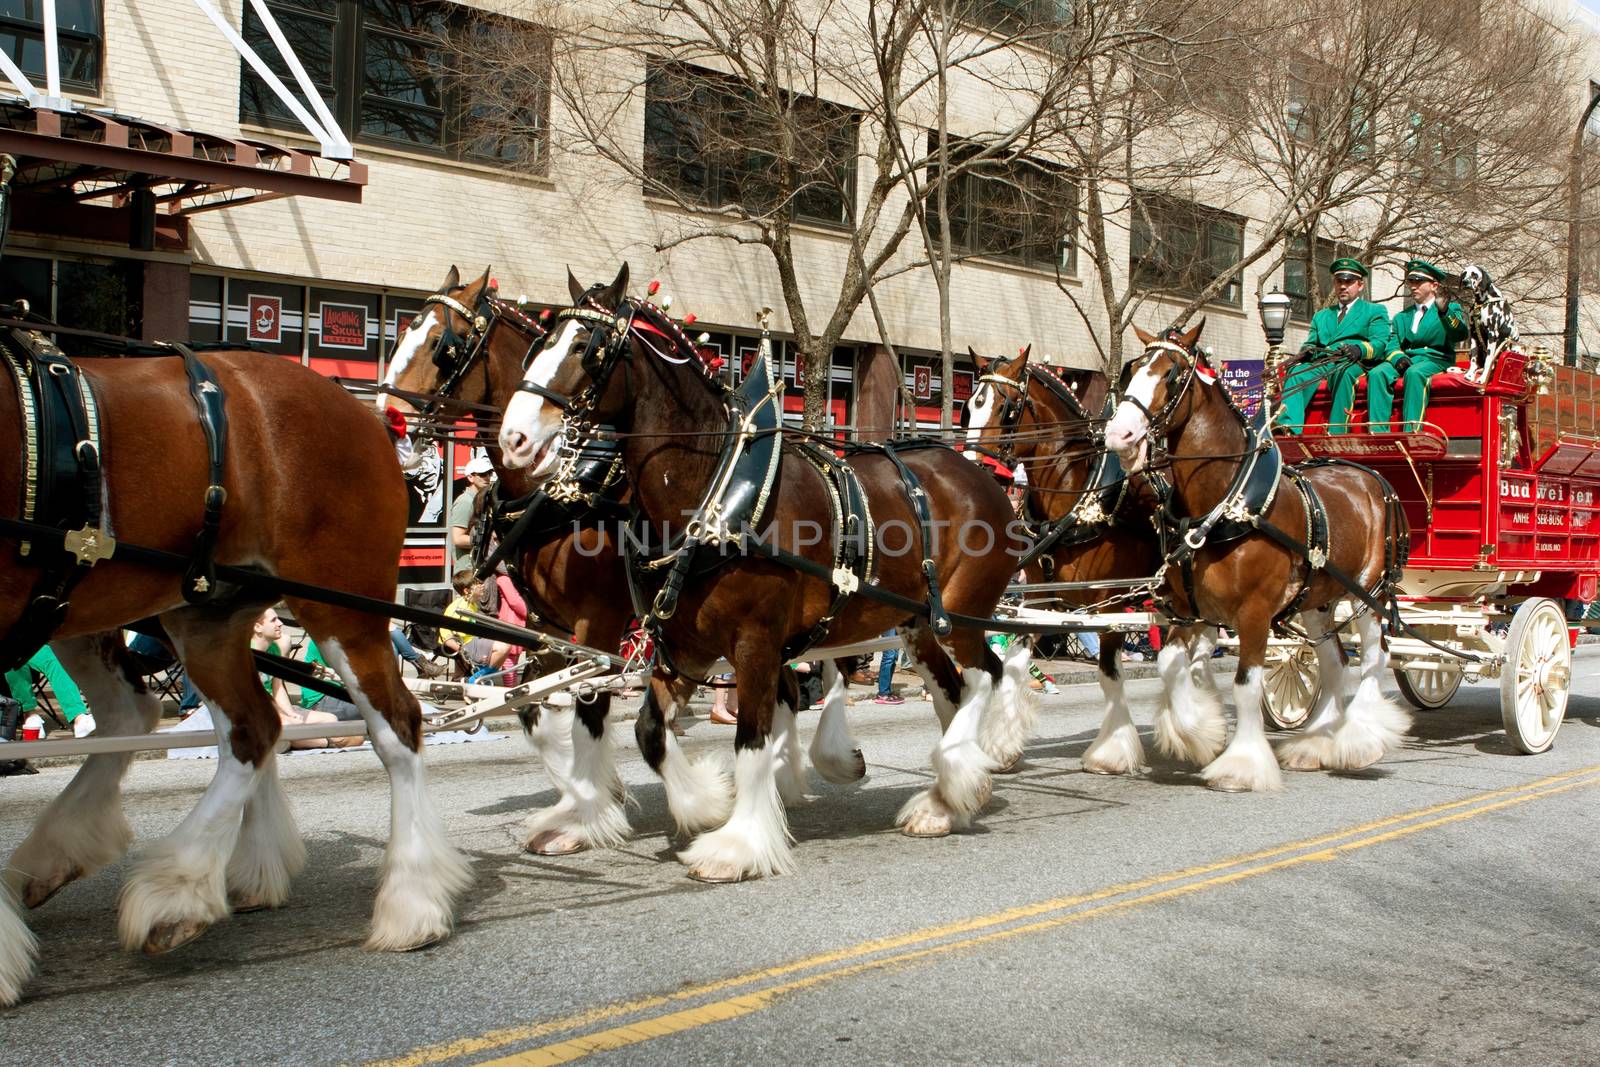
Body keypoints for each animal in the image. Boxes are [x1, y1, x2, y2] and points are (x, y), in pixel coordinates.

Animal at [3, 350, 467, 1011]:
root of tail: (367, 414)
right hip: (183, 611)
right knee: (239, 725)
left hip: (338, 609)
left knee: (393, 726)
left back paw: (409, 903)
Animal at [377, 268, 876, 857]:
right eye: (402, 333)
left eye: (441, 344)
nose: (387, 420)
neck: (565, 491)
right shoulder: (551, 628)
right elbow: (531, 709)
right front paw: (585, 797)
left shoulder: (598, 620)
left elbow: (587, 711)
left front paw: (597, 811)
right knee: (788, 690)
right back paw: (785, 781)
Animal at [492, 268, 1030, 883]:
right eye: (540, 341)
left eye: (587, 346)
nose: (514, 438)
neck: (714, 493)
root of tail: (983, 476)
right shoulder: (681, 645)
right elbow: (649, 732)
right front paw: (703, 802)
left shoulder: (749, 642)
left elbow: (749, 740)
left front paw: (737, 844)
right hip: (916, 621)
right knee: (953, 690)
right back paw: (946, 801)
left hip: (961, 612)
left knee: (986, 676)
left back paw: (957, 772)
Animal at [960, 350, 1222, 777]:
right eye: (969, 406)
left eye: (1005, 407)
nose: (976, 469)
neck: (1079, 495)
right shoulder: (1041, 601)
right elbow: (1014, 665)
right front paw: (1001, 746)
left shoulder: (1109, 605)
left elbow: (1109, 674)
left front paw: (1111, 752)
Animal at [1107, 321, 1408, 790]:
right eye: (1133, 369)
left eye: (1172, 374)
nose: (1117, 434)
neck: (1227, 503)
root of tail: (1372, 476)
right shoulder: (1188, 610)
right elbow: (1172, 665)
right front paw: (1199, 731)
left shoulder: (1254, 612)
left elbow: (1246, 684)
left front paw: (1241, 764)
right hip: (1318, 598)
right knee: (1335, 662)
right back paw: (1315, 742)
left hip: (1368, 593)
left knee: (1375, 658)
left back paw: (1359, 738)